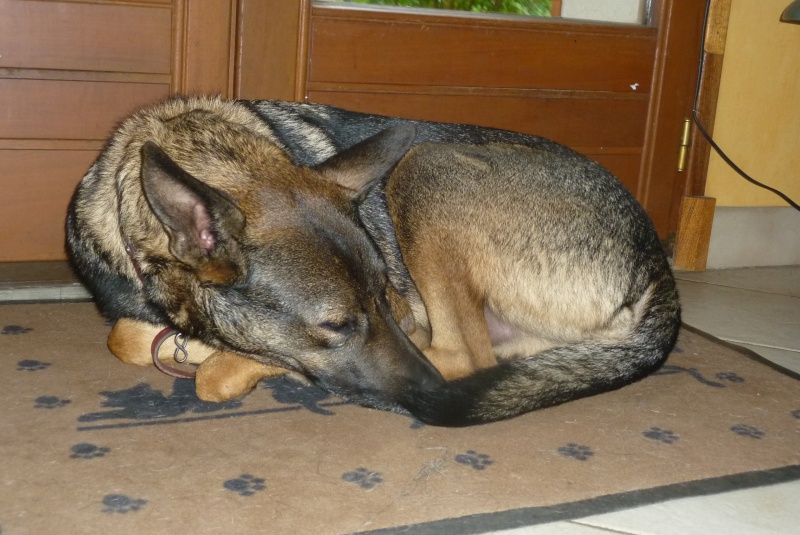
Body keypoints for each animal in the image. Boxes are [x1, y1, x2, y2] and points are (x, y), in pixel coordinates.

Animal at [65, 96, 680, 428]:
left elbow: (213, 377)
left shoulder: (403, 313)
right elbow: (125, 337)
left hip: (426, 164)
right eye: (337, 324)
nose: (428, 390)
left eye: (384, 298)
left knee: (467, 354)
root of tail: (656, 259)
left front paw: (232, 363)